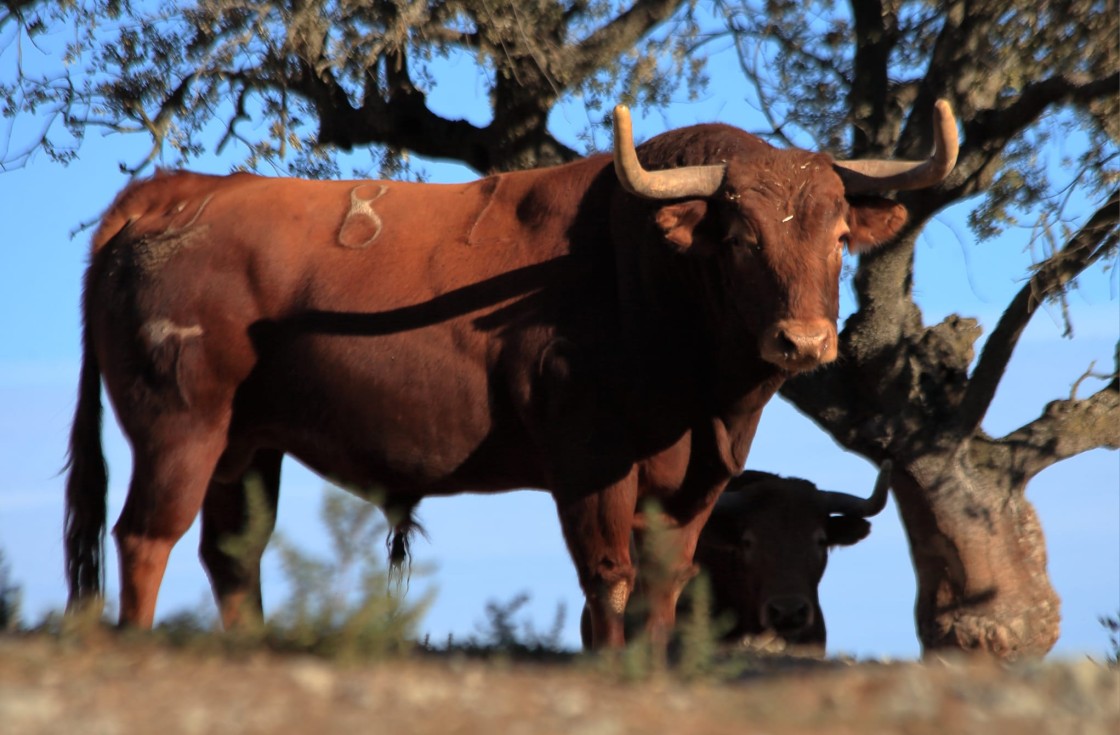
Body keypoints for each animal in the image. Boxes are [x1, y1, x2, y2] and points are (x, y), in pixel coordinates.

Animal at [63, 100, 954, 645]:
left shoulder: (694, 480)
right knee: (145, 536)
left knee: (231, 555)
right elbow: (610, 582)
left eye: (840, 236)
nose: (804, 341)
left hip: (246, 445)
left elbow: (664, 587)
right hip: (180, 424)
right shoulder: (590, 458)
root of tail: (172, 193)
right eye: (738, 237)